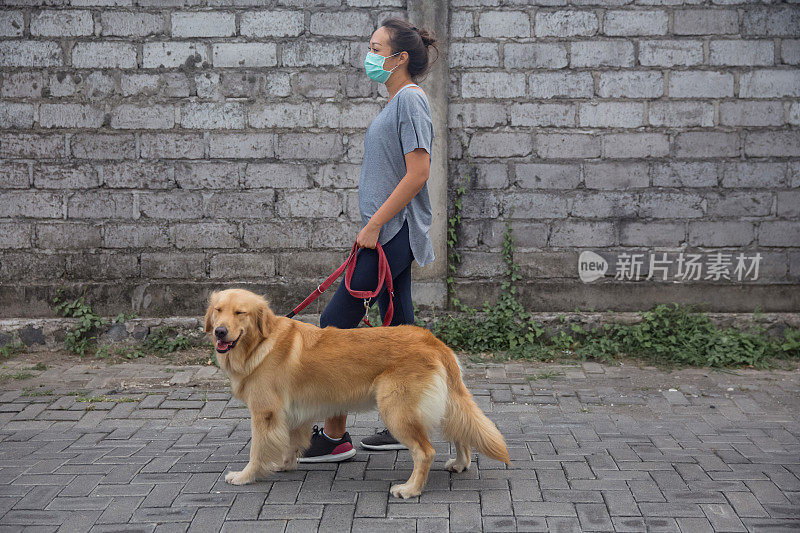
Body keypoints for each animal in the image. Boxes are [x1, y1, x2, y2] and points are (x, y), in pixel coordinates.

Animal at [203, 288, 510, 496]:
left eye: (240, 313)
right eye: (218, 310)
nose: (220, 332)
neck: (259, 343)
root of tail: (432, 340)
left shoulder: (264, 413)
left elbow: (257, 450)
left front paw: (246, 476)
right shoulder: (291, 413)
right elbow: (290, 443)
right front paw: (285, 464)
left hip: (396, 411)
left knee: (425, 452)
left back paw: (410, 489)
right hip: (443, 404)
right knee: (461, 432)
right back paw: (460, 463)